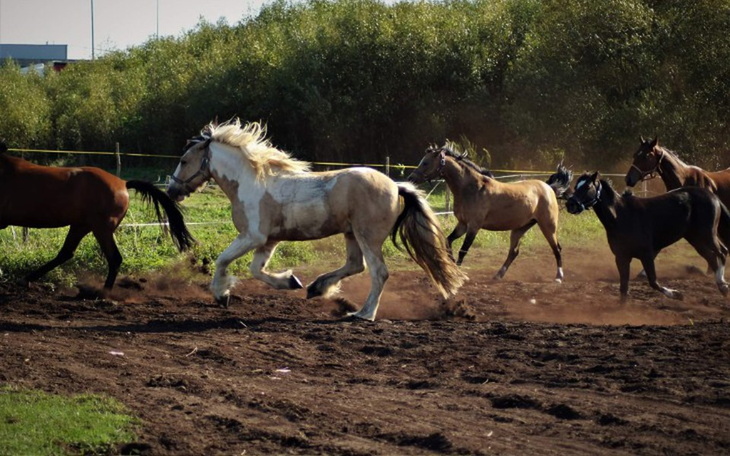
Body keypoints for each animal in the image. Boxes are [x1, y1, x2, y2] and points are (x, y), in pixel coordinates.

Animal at [0, 142, 194, 290]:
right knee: (66, 253)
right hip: (81, 226)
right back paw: (27, 279)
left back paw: (102, 293)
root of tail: (123, 183)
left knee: (114, 258)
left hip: (101, 228)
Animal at [166, 119, 467, 321]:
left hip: (367, 236)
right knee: (355, 265)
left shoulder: (252, 236)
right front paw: (291, 282)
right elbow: (256, 270)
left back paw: (363, 314)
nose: (172, 191)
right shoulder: (268, 241)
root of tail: (395, 186)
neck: (249, 184)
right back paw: (318, 289)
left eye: (183, 160)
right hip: (351, 234)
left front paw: (221, 295)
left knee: (378, 272)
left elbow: (223, 260)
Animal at [408, 145, 572, 282]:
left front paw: (460, 274)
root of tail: (549, 188)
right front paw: (453, 267)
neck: (472, 188)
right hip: (519, 228)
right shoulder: (462, 224)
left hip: (548, 226)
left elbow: (463, 250)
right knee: (514, 252)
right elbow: (448, 242)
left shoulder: (473, 226)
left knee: (557, 248)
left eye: (426, 163)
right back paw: (498, 275)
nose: (411, 178)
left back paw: (559, 277)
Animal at [566, 171, 729, 300]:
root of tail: (712, 196)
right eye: (576, 186)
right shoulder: (622, 257)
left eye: (587, 187)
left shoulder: (647, 254)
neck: (621, 216)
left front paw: (677, 294)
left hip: (707, 234)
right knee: (712, 257)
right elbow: (623, 289)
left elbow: (653, 282)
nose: (570, 204)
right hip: (695, 238)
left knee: (721, 252)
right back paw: (721, 285)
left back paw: (723, 286)